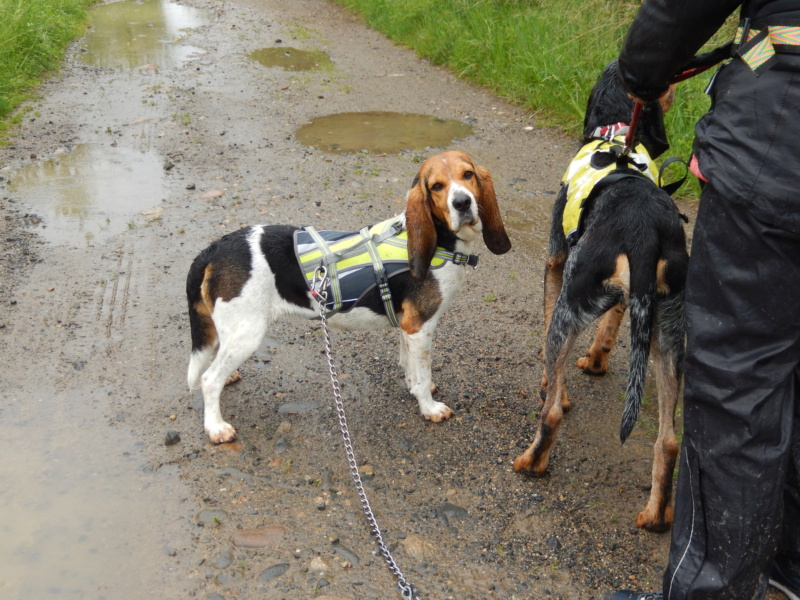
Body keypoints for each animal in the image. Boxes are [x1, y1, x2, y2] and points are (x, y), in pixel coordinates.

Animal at [186, 152, 512, 442]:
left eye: (467, 174)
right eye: (436, 186)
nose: (462, 203)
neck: (440, 241)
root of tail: (215, 248)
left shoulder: (407, 327)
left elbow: (409, 364)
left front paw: (414, 386)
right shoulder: (420, 327)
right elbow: (422, 373)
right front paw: (429, 408)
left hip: (230, 330)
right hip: (248, 332)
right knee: (208, 380)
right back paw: (216, 428)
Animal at [516, 59, 692, 528]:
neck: (616, 133)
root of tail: (646, 230)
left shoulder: (556, 264)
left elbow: (549, 365)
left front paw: (552, 385)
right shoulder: (627, 298)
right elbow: (610, 331)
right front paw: (596, 361)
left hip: (573, 299)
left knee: (551, 414)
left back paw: (532, 462)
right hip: (668, 333)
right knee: (669, 441)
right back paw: (655, 515)